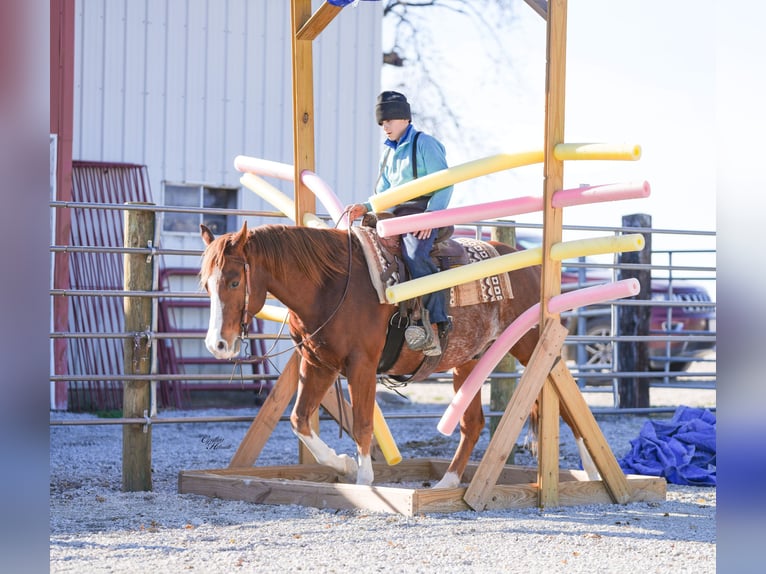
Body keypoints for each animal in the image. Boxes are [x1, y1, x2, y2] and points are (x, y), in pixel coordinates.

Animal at [199, 221, 593, 488]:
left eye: (234, 281)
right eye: (205, 284)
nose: (217, 344)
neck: (331, 286)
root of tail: (531, 265)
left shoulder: (361, 365)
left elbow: (362, 423)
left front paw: (363, 481)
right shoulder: (318, 364)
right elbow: (300, 420)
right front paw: (343, 465)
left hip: (533, 344)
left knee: (567, 402)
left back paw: (591, 469)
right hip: (468, 361)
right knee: (473, 424)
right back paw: (448, 483)